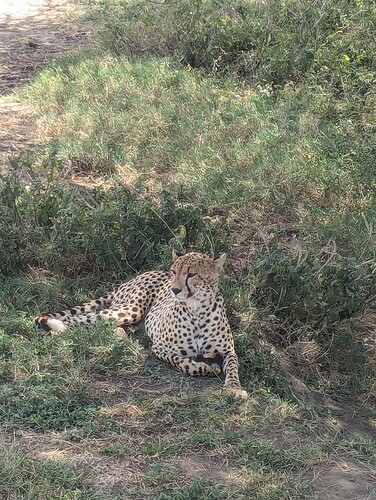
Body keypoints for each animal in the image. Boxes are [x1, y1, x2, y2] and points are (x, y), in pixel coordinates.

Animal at [34, 250, 247, 398]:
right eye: (174, 272)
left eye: (191, 274)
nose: (174, 290)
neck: (197, 310)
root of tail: (139, 275)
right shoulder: (160, 348)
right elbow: (183, 362)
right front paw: (206, 367)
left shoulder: (228, 350)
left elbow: (233, 368)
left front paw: (235, 389)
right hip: (130, 309)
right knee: (80, 319)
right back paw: (57, 329)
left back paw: (122, 338)